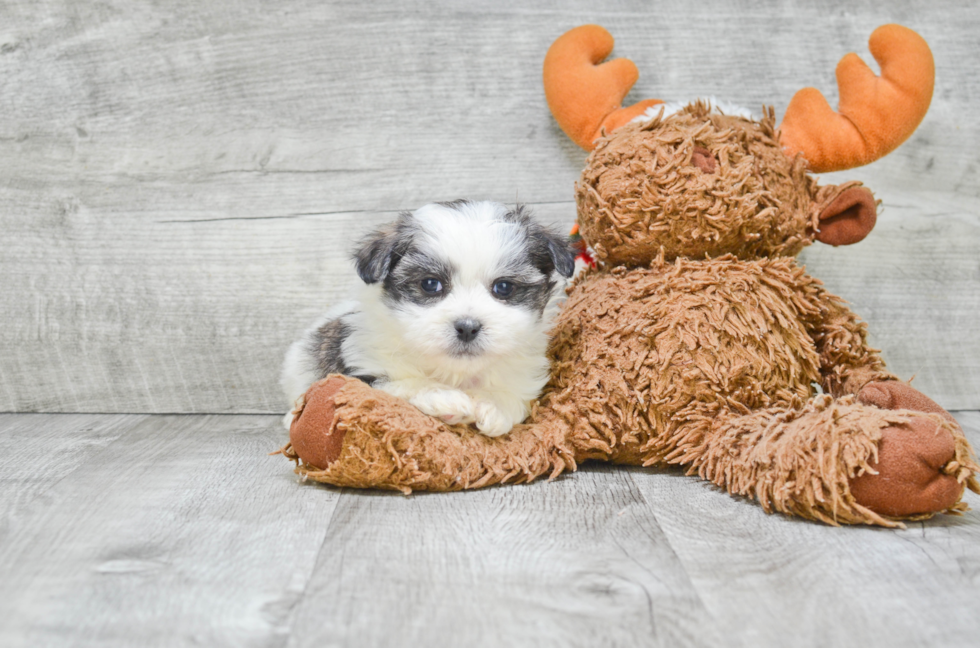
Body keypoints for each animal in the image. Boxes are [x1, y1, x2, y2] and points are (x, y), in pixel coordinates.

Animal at [280, 200, 576, 438]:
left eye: (503, 287)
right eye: (430, 284)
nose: (467, 327)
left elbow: (515, 395)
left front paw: (494, 405)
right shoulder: (362, 368)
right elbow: (399, 383)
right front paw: (444, 397)